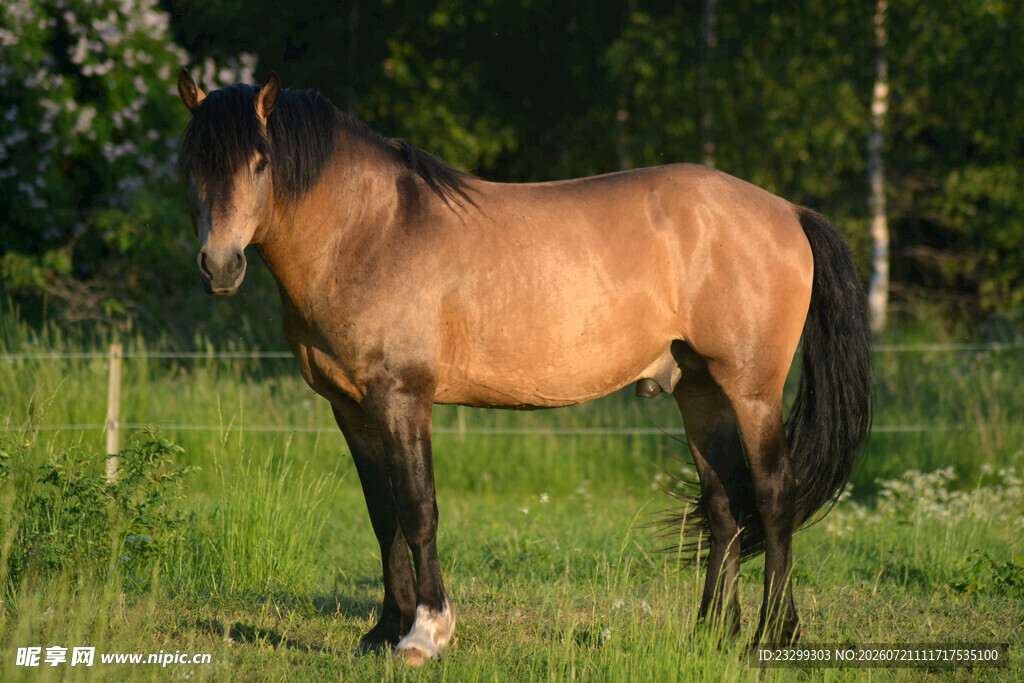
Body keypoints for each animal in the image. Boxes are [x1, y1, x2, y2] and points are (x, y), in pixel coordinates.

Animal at [176, 70, 872, 664]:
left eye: (261, 163)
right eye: (192, 165)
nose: (219, 267)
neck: (371, 231)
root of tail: (787, 212)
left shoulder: (402, 397)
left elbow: (418, 508)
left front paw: (425, 633)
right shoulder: (351, 406)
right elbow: (383, 515)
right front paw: (382, 629)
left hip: (752, 391)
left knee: (774, 497)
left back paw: (772, 636)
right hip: (698, 391)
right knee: (724, 505)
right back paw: (708, 635)